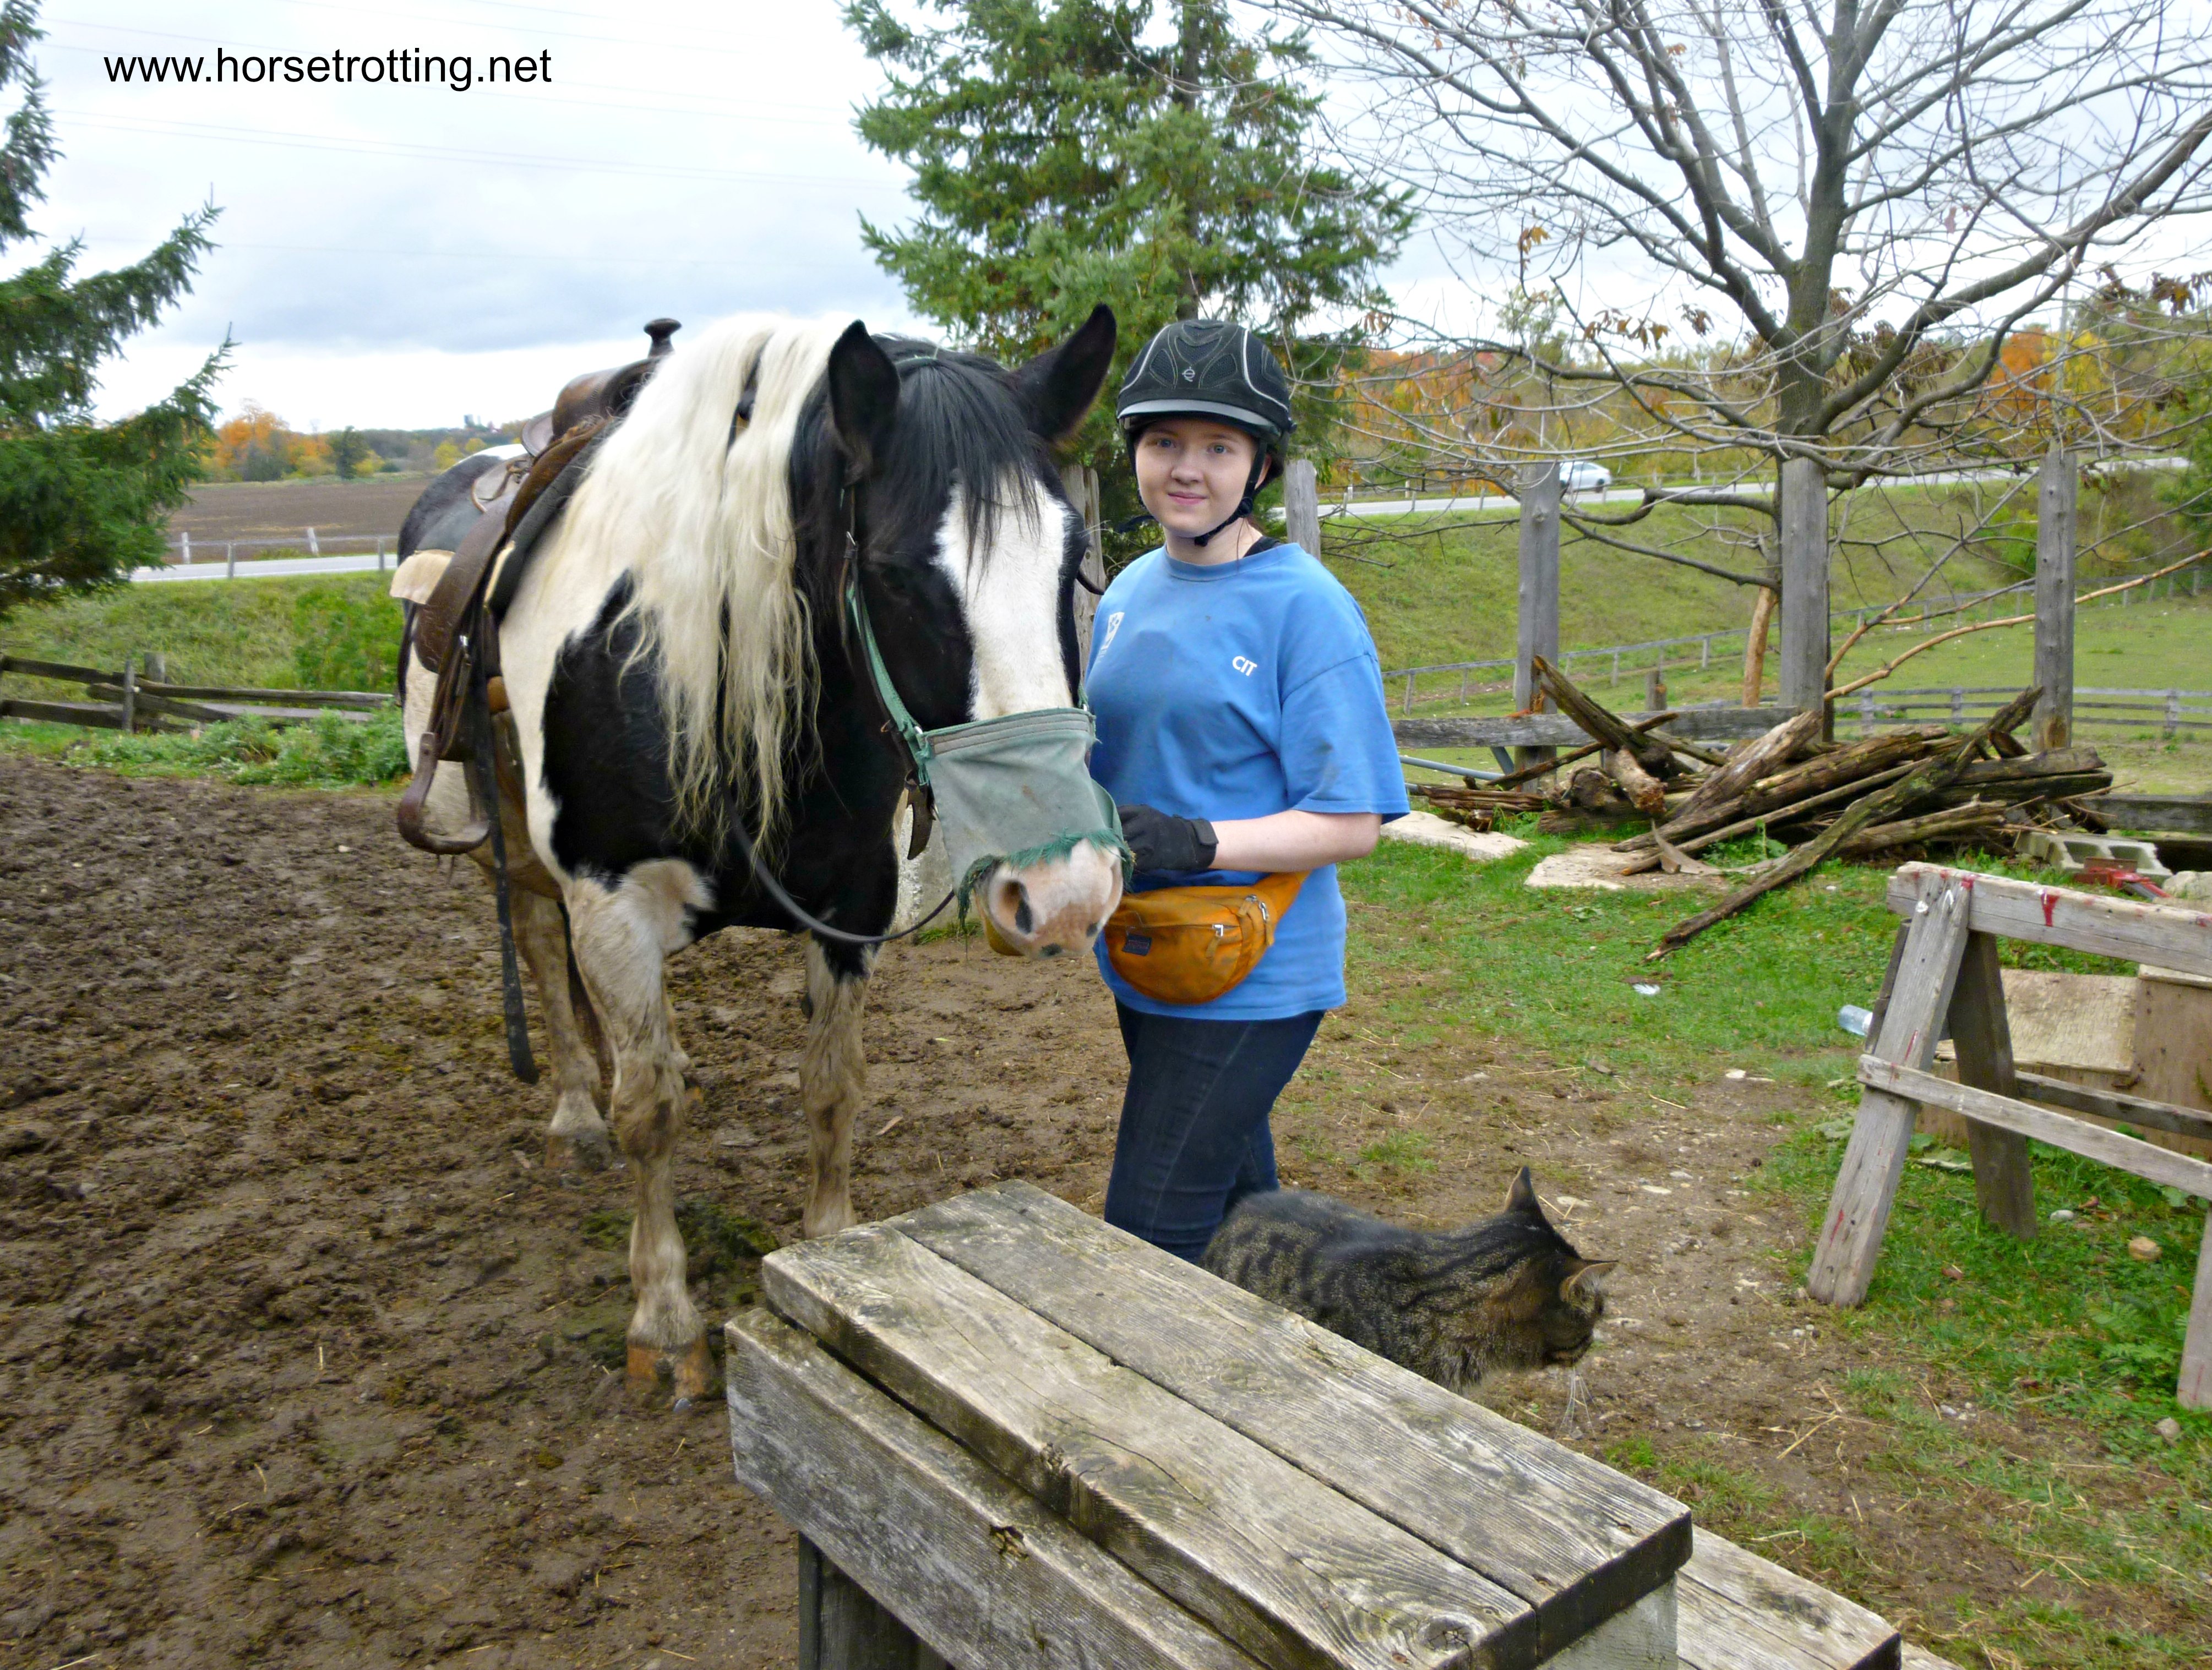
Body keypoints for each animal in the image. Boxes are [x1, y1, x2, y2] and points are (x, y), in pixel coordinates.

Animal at [393, 307, 1126, 1406]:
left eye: (1073, 558)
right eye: (897, 574)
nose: (1066, 892)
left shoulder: (853, 905)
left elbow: (830, 1083)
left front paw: (832, 1254)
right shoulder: (611, 905)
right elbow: (649, 1112)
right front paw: (663, 1322)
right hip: (509, 841)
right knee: (539, 946)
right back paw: (574, 1108)